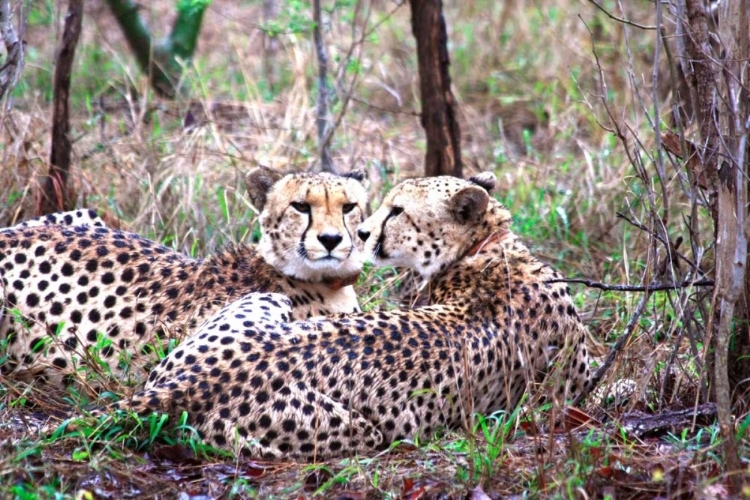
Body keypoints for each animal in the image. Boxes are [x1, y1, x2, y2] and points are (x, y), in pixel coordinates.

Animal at [88, 173, 592, 460]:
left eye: (398, 211)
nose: (361, 234)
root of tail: (191, 382)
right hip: (358, 429)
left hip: (261, 305)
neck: (485, 251)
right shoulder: (571, 392)